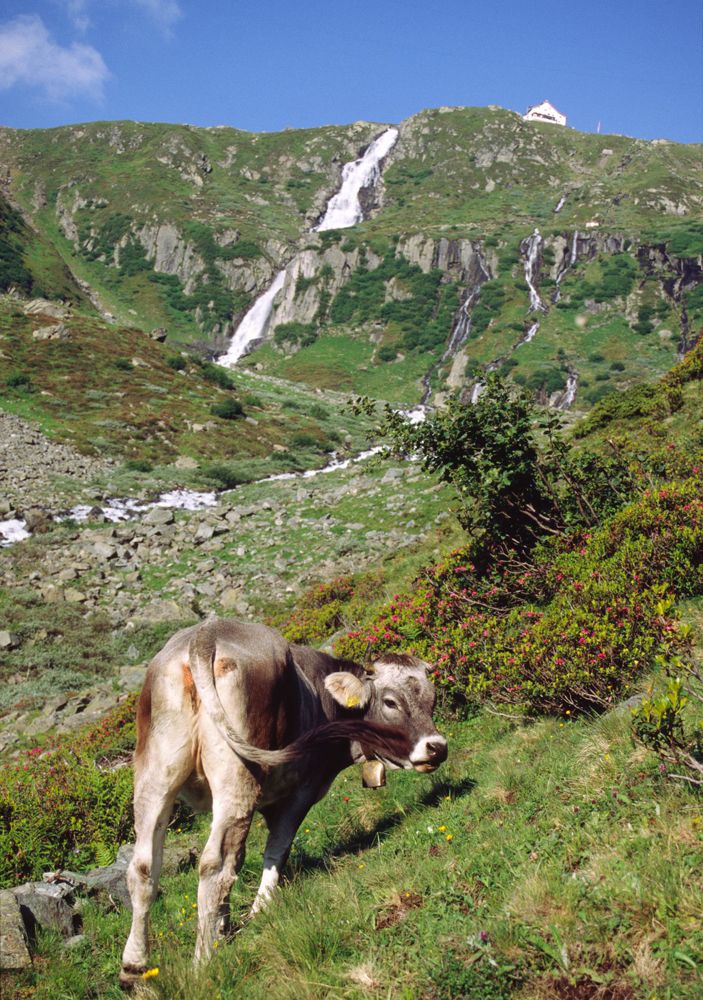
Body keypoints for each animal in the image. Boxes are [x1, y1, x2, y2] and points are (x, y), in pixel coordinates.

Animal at [119, 616, 446, 984]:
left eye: (432, 698)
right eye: (390, 702)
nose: (437, 747)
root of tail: (206, 634)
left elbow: (243, 858)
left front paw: (223, 927)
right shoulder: (301, 791)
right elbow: (276, 849)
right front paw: (259, 911)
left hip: (155, 776)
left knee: (144, 866)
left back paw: (134, 966)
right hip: (237, 780)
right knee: (215, 866)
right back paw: (204, 962)